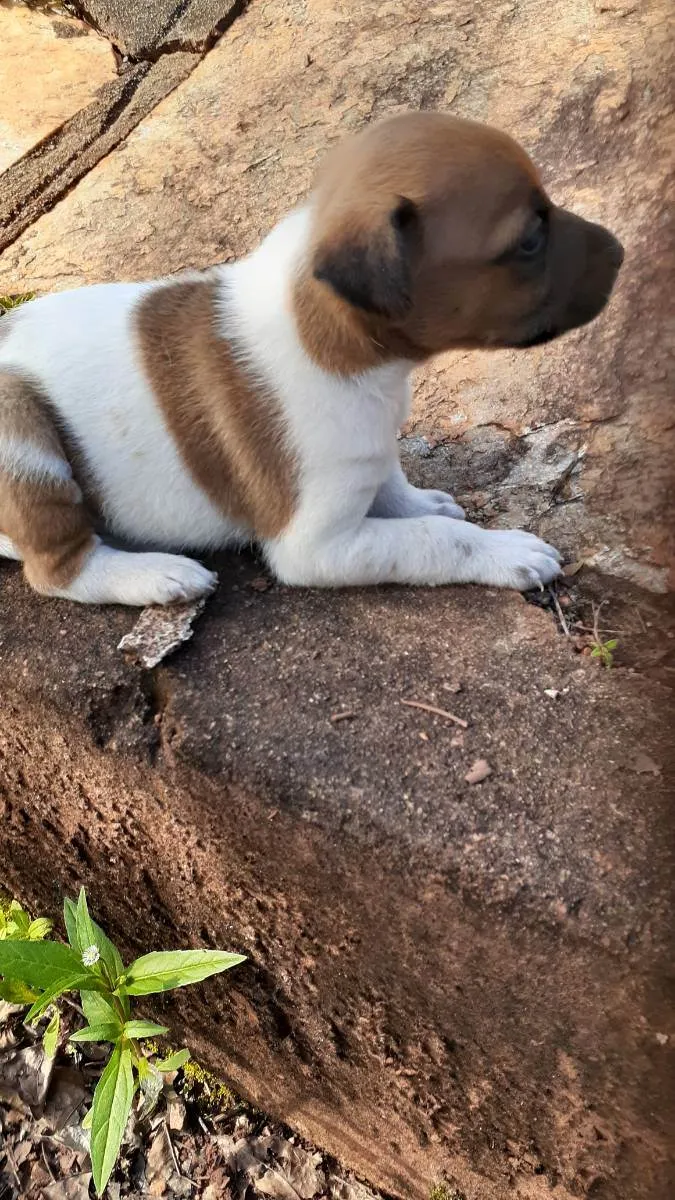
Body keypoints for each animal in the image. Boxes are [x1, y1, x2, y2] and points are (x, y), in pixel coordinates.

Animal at [0, 112, 619, 604]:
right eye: (529, 241)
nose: (619, 251)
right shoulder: (317, 546)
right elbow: (437, 541)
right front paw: (506, 552)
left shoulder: (369, 448)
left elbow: (392, 482)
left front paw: (419, 501)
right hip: (24, 443)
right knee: (58, 569)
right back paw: (157, 575)